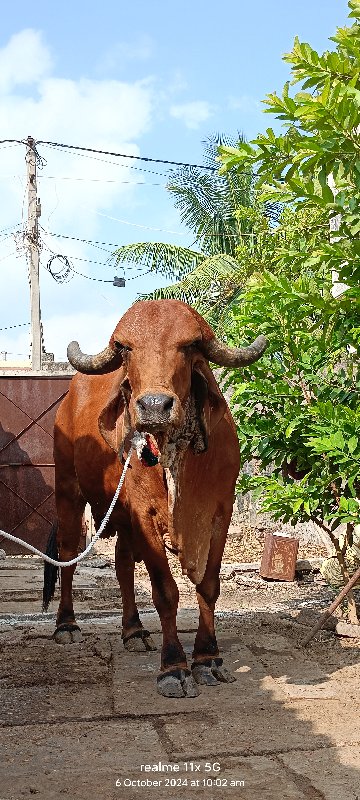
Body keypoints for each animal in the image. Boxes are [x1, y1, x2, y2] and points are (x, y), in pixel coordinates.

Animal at [47, 296, 266, 696]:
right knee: (68, 554)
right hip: (69, 490)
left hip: (120, 513)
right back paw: (67, 624)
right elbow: (165, 592)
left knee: (121, 563)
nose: (153, 406)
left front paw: (208, 659)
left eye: (189, 345)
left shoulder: (220, 512)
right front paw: (174, 667)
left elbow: (208, 586)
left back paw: (133, 630)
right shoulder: (145, 516)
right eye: (125, 348)